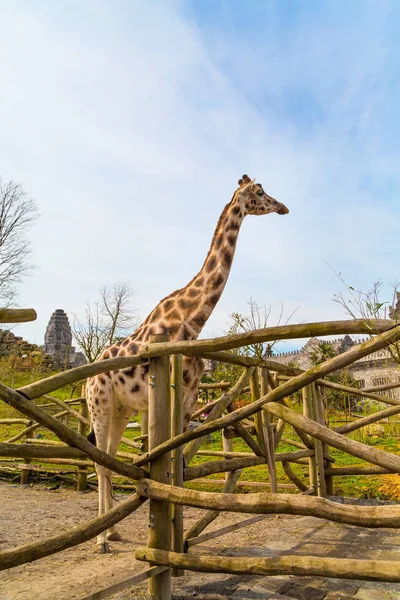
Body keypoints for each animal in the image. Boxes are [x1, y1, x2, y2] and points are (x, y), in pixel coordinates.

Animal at [86, 171, 290, 552]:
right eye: (260, 191)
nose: (283, 207)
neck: (192, 319)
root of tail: (86, 381)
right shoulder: (172, 395)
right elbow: (167, 463)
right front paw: (167, 541)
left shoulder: (189, 396)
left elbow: (175, 464)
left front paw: (173, 539)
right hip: (100, 406)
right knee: (101, 464)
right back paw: (102, 539)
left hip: (121, 410)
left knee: (107, 460)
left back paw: (113, 532)